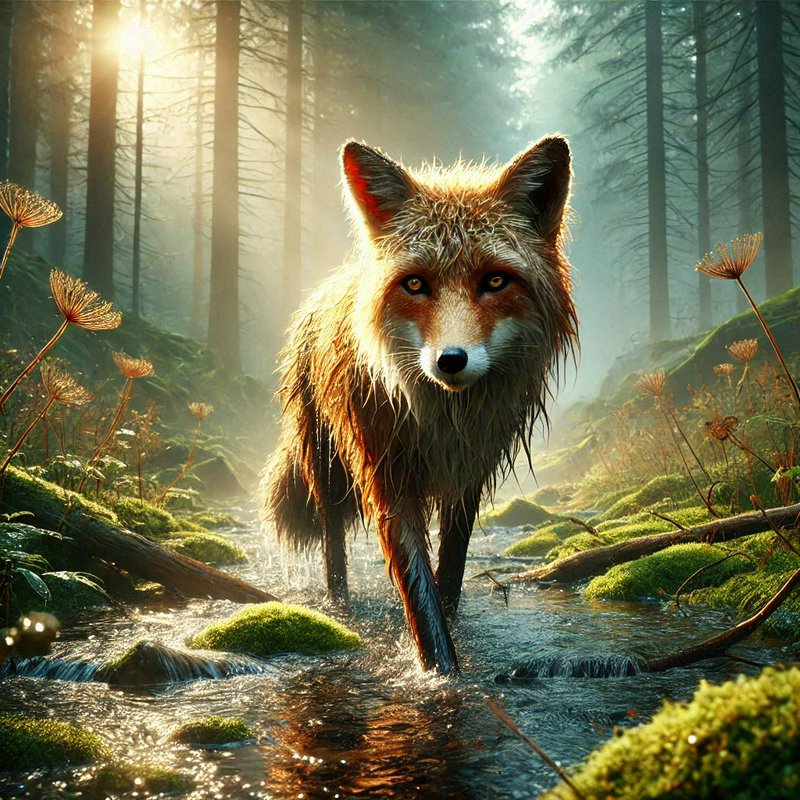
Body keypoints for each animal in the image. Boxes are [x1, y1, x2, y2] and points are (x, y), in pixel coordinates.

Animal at [262, 136, 577, 674]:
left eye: (495, 281)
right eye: (414, 284)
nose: (451, 360)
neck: (443, 420)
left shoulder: (468, 472)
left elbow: (448, 574)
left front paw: (453, 632)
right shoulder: (388, 477)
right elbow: (419, 591)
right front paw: (441, 671)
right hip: (325, 467)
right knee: (332, 544)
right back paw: (337, 605)